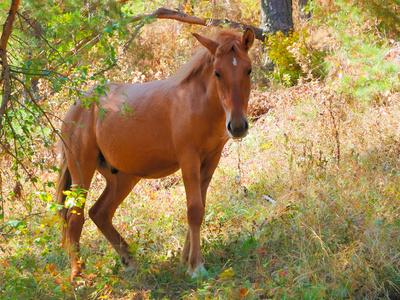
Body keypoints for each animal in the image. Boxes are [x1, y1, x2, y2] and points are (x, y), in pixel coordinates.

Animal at [55, 28, 253, 278]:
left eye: (248, 70)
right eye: (217, 73)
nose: (237, 126)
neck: (198, 103)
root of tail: (74, 109)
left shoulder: (210, 161)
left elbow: (200, 207)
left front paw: (185, 259)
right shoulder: (189, 159)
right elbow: (194, 210)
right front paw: (196, 266)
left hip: (123, 178)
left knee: (99, 213)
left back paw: (130, 261)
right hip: (82, 171)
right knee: (75, 217)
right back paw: (78, 274)